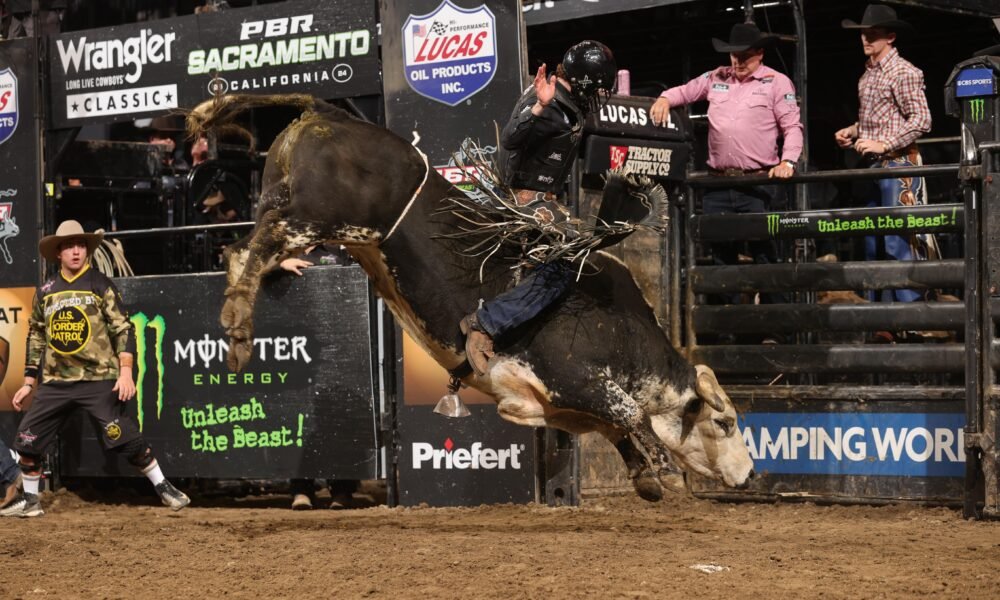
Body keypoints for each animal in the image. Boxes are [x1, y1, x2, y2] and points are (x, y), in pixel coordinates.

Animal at [186, 94, 752, 500]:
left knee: (241, 248)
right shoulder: (578, 376)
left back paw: (238, 337)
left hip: (289, 208)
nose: (747, 474)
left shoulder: (557, 403)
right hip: (313, 217)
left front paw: (646, 477)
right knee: (251, 249)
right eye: (724, 421)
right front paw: (667, 473)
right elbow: (629, 413)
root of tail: (329, 111)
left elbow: (613, 425)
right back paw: (236, 324)